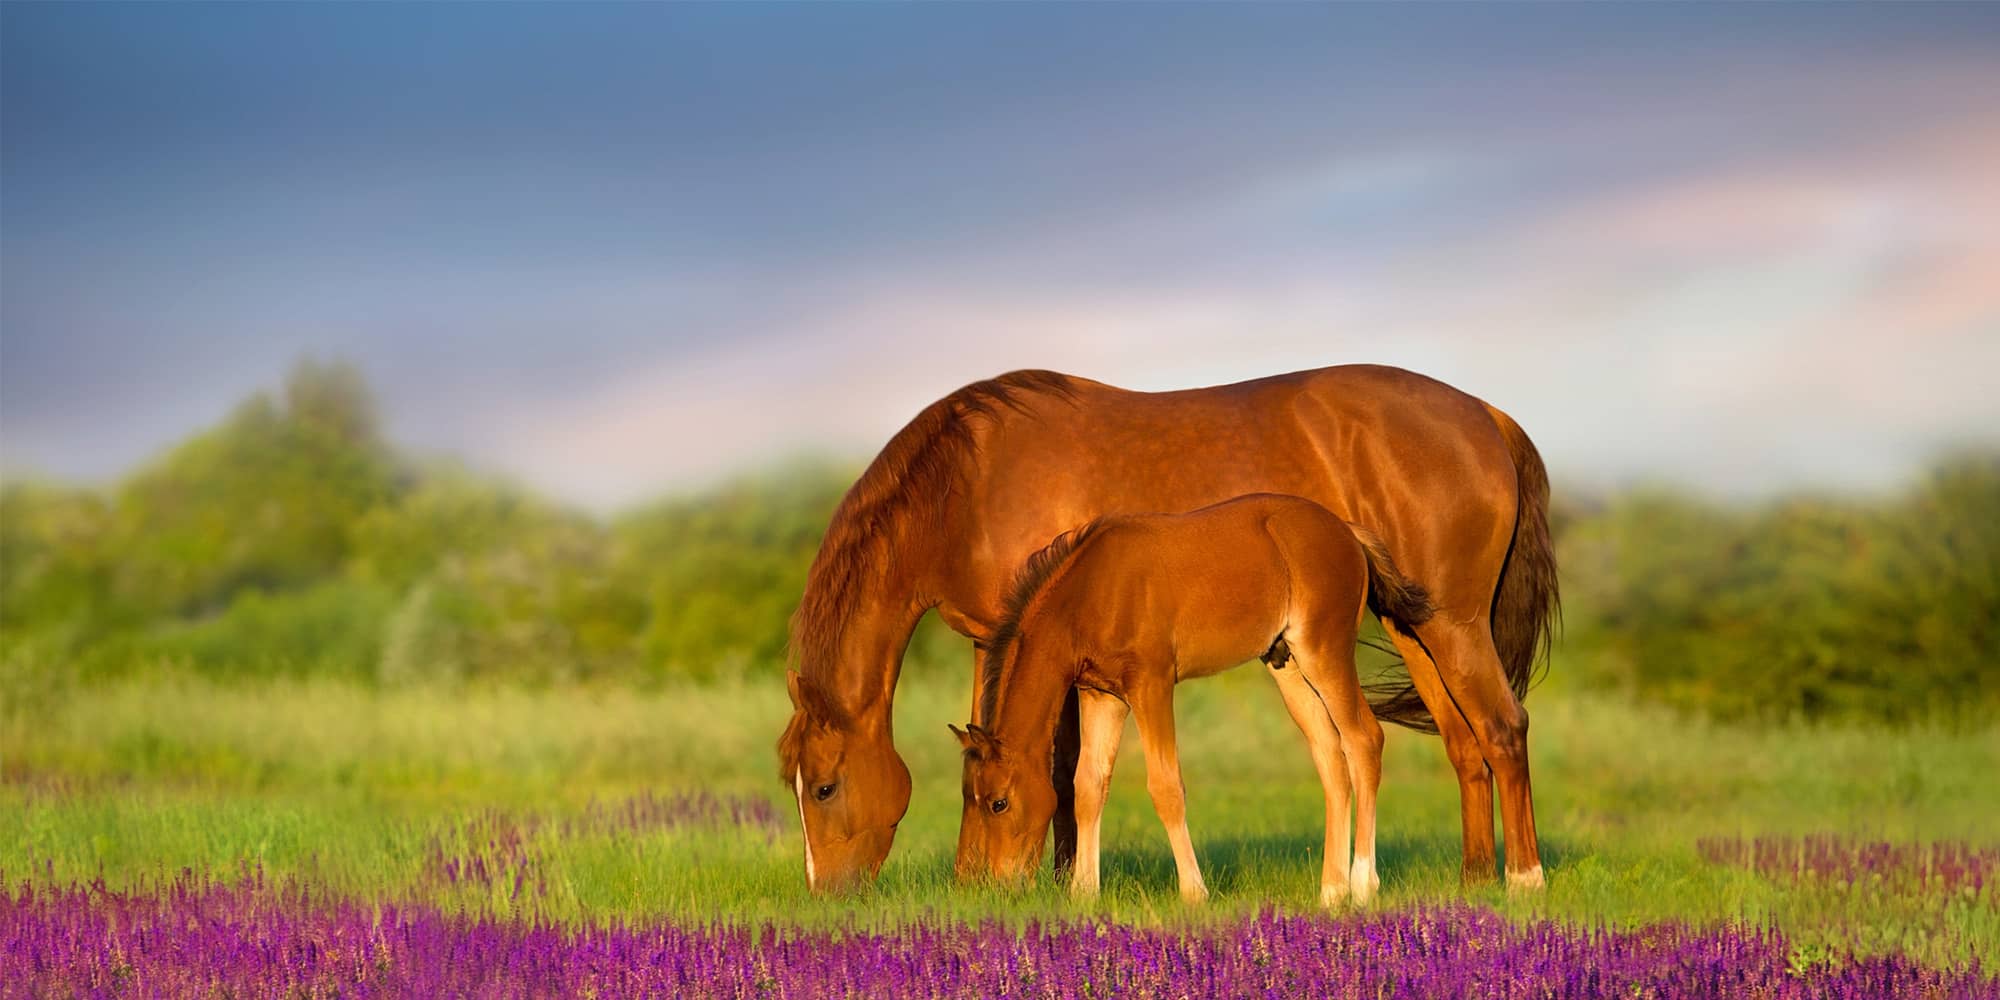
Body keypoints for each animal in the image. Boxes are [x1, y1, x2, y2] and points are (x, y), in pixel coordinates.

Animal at [951, 494, 1436, 905]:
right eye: (970, 797)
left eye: (998, 802)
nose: (999, 886)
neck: (1091, 591)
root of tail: (1347, 531)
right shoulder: (1100, 694)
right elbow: (1088, 785)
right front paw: (1084, 893)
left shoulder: (1151, 685)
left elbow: (1166, 787)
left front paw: (1194, 892)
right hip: (1287, 663)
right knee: (1330, 756)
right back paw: (1331, 892)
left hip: (1325, 651)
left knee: (1364, 739)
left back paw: (1362, 885)